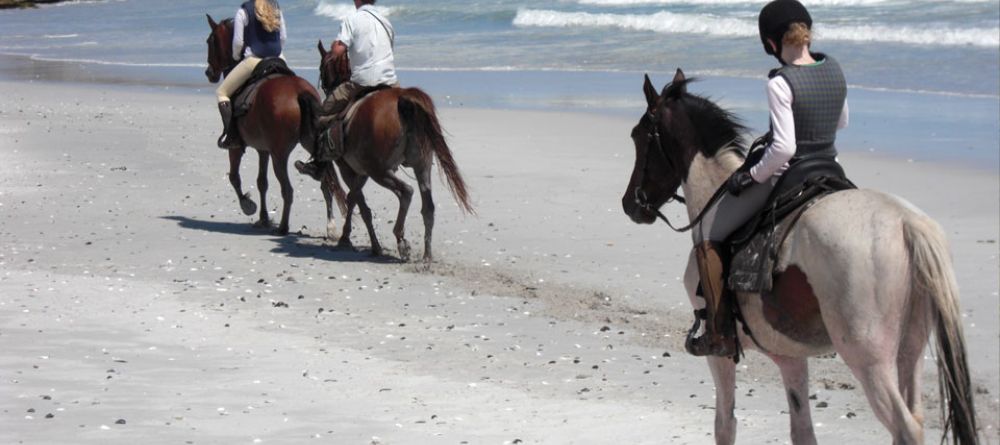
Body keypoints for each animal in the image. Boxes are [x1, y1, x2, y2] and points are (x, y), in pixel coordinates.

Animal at [203, 14, 344, 236]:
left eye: (211, 41)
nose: (209, 73)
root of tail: (299, 92)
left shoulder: (237, 148)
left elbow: (234, 177)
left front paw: (248, 205)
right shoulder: (263, 150)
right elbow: (262, 182)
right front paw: (263, 218)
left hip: (280, 154)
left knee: (288, 189)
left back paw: (284, 227)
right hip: (310, 144)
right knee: (325, 182)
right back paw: (330, 226)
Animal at [296, 40, 472, 260]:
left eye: (322, 68)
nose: (327, 88)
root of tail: (403, 99)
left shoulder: (349, 169)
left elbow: (359, 203)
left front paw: (363, 243)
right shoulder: (361, 172)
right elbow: (354, 199)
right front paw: (350, 237)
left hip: (379, 171)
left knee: (406, 192)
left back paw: (401, 239)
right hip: (421, 166)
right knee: (428, 207)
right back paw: (427, 256)